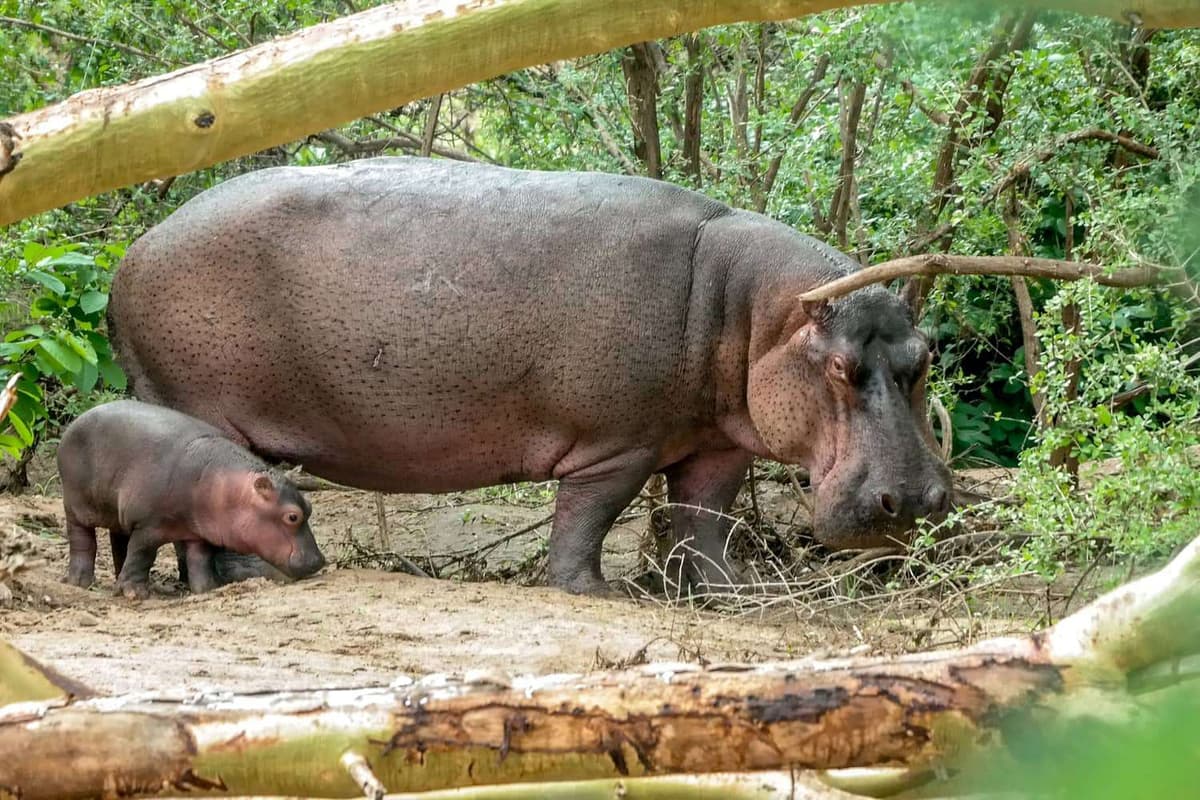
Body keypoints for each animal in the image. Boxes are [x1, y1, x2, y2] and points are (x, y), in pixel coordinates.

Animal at [57, 400, 326, 598]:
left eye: (310, 506)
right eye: (292, 516)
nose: (319, 561)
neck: (228, 487)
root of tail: (75, 422)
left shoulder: (198, 532)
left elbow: (200, 560)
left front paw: (207, 589)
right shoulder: (148, 525)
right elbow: (142, 554)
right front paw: (135, 594)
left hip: (119, 513)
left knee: (119, 542)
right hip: (75, 505)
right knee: (83, 540)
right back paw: (80, 583)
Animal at [108, 157, 951, 596]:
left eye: (926, 354)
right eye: (839, 366)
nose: (914, 498)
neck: (754, 313)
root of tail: (132, 254)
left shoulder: (715, 443)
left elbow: (703, 522)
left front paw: (734, 595)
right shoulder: (617, 445)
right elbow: (586, 520)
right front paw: (597, 593)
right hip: (199, 412)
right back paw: (254, 576)